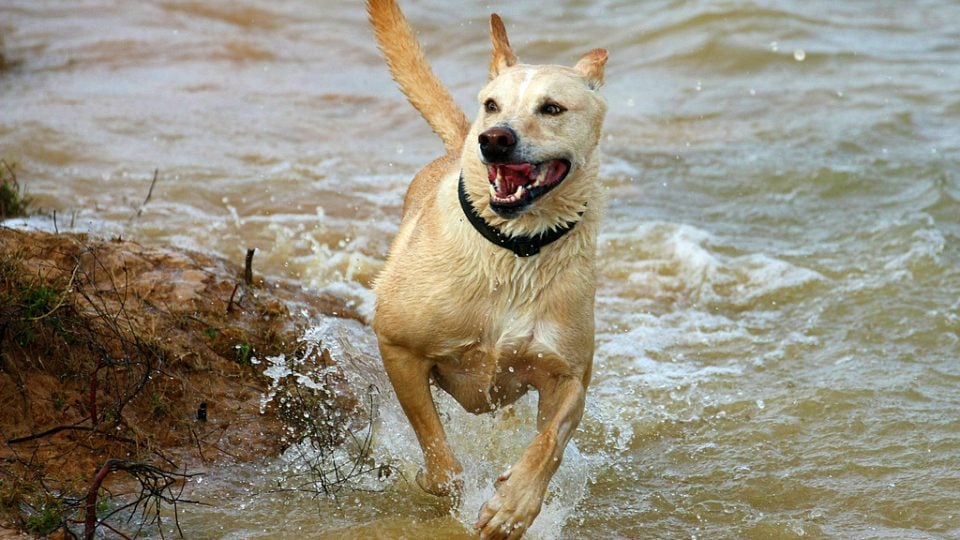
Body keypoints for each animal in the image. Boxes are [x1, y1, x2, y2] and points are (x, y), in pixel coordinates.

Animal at [368, 2, 608, 536]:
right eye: (493, 104)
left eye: (552, 108)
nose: (493, 140)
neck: (515, 250)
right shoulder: (397, 346)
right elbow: (439, 455)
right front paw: (441, 482)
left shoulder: (568, 376)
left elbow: (548, 445)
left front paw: (512, 508)